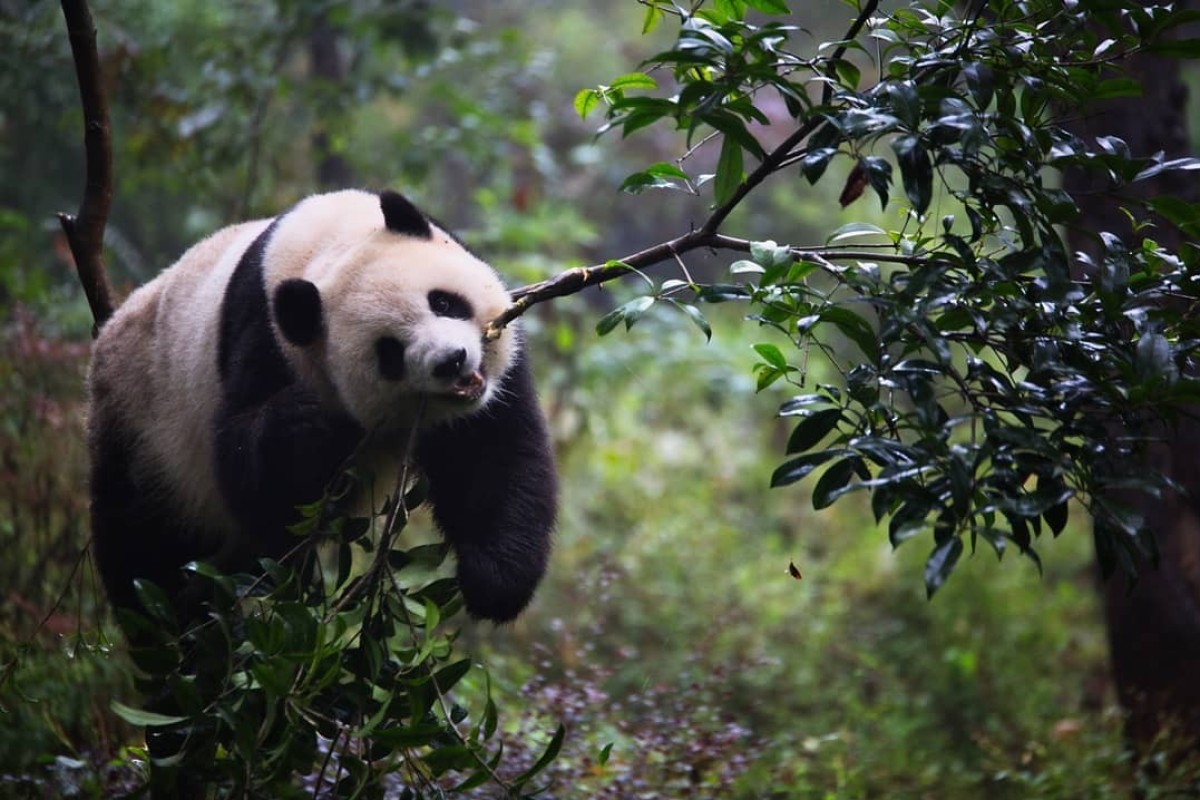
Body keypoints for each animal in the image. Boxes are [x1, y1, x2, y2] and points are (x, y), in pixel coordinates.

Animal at [87, 189, 556, 625]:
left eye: (442, 302)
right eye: (389, 352)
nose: (451, 361)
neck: (322, 251)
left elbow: (493, 456)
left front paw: (492, 582)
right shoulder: (265, 339)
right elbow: (257, 494)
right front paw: (301, 423)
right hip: (142, 430)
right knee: (142, 551)